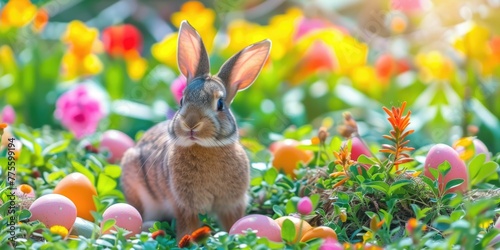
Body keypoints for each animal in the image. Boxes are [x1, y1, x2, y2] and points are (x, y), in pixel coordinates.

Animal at [119, 20, 272, 239]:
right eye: (182, 100)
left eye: (220, 104)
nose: (191, 123)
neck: (205, 147)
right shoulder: (184, 205)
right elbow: (188, 226)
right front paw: (187, 239)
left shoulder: (231, 204)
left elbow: (233, 221)